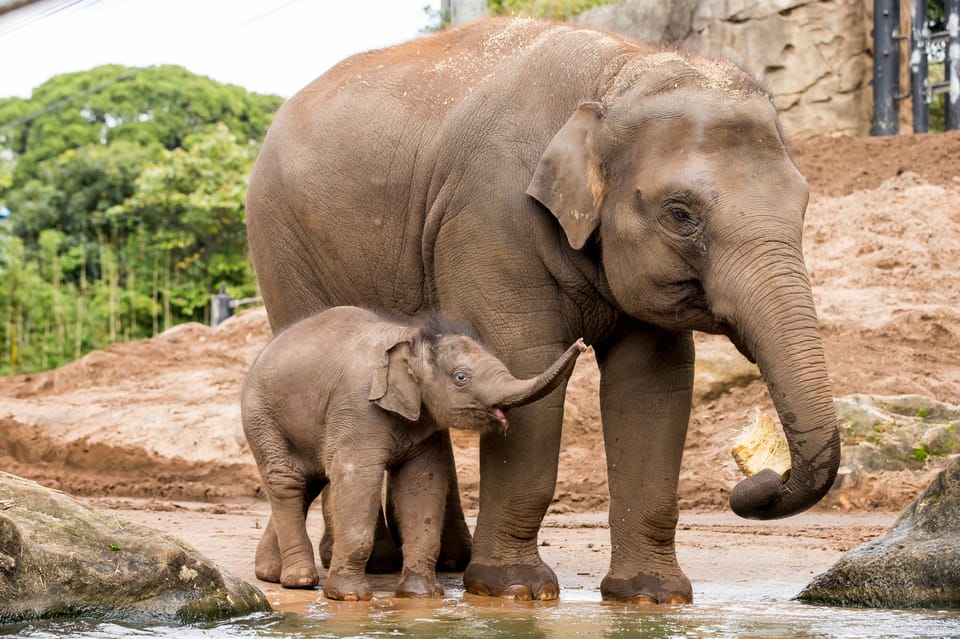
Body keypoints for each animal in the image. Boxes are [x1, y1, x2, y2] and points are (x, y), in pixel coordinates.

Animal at [240, 308, 584, 604]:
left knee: (309, 482)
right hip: (261, 417)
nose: (581, 342)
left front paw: (422, 595)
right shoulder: (357, 406)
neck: (412, 339)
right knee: (286, 482)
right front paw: (348, 596)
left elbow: (423, 483)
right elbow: (355, 476)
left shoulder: (425, 424)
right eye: (461, 378)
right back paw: (299, 579)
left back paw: (270, 573)